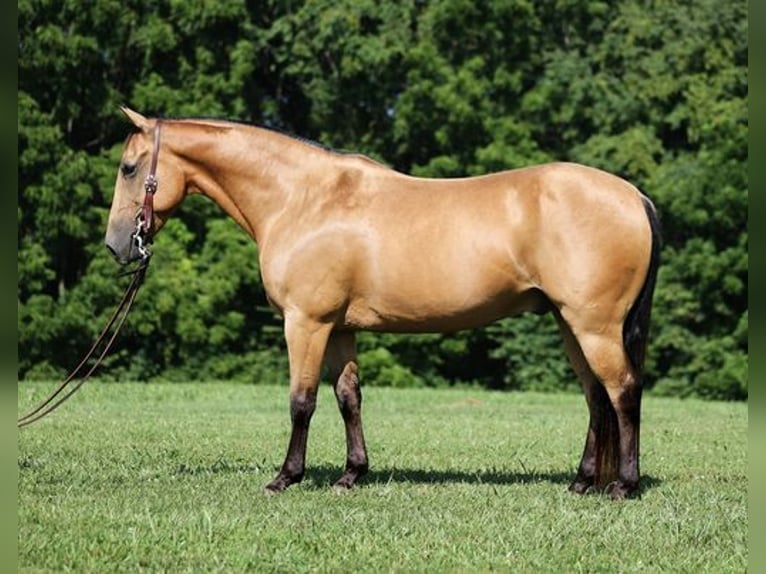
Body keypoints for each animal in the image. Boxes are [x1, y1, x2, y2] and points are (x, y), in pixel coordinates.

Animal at [105, 107, 664, 500]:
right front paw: (352, 475)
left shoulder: (306, 323)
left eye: (129, 168)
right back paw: (583, 482)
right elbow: (348, 397)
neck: (302, 198)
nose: (117, 245)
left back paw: (624, 485)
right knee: (597, 397)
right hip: (572, 326)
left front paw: (286, 477)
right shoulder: (340, 328)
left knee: (623, 390)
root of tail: (635, 197)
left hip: (593, 327)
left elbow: (301, 400)